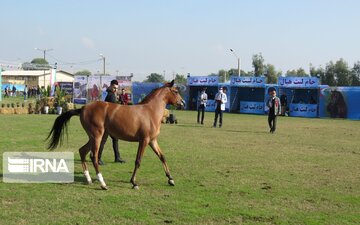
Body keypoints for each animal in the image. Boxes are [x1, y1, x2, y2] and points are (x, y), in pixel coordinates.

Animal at [46, 80, 184, 189]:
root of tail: (83, 108)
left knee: (82, 151)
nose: (182, 103)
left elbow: (162, 157)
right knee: (93, 156)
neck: (150, 111)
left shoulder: (152, 141)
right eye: (176, 91)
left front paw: (171, 179)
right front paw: (134, 183)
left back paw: (89, 179)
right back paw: (103, 184)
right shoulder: (144, 141)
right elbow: (138, 161)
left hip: (93, 137)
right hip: (97, 136)